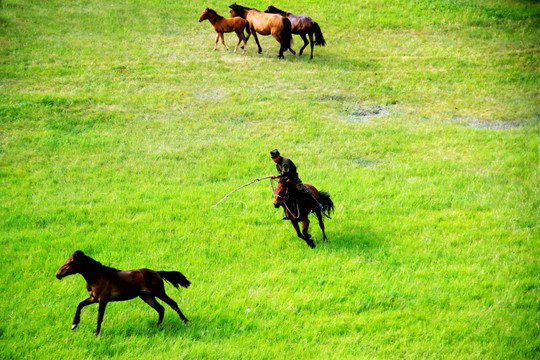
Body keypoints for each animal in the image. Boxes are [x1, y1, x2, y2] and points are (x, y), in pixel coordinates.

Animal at [56, 249, 191, 336]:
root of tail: (157, 273)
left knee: (172, 304)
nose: (57, 274)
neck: (97, 277)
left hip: (159, 293)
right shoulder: (93, 298)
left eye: (70, 262)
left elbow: (99, 317)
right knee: (161, 309)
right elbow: (80, 305)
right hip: (146, 296)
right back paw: (157, 327)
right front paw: (74, 325)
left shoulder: (102, 299)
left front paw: (96, 334)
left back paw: (186, 321)